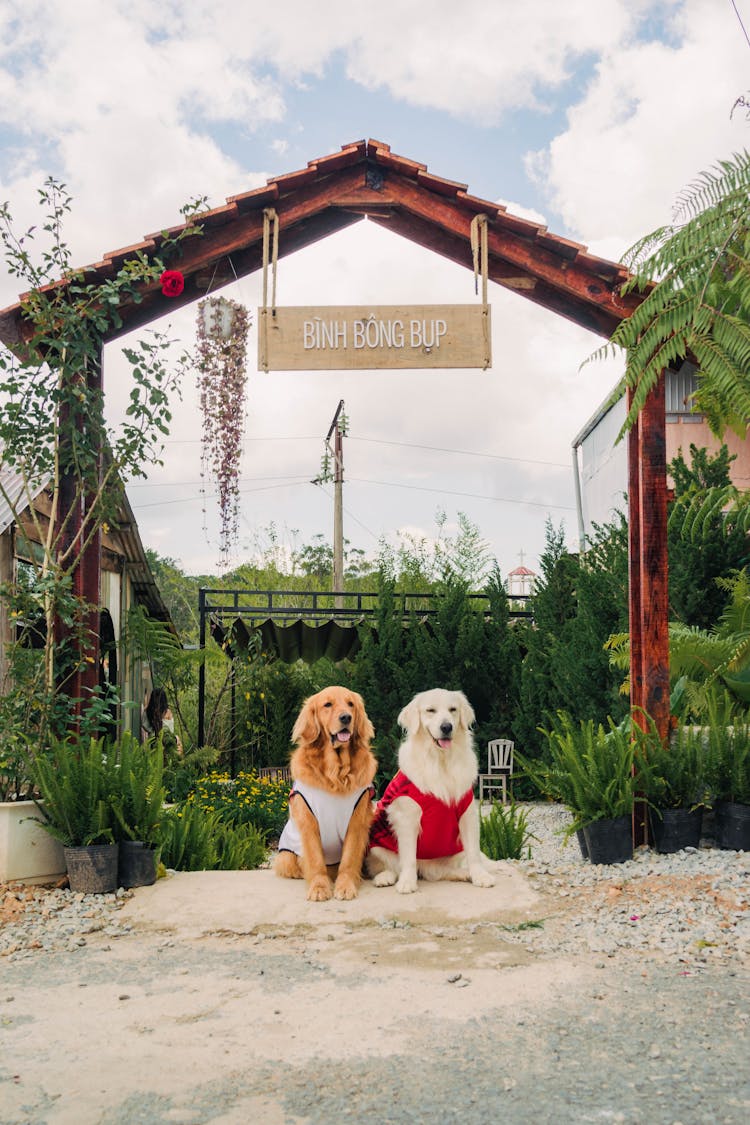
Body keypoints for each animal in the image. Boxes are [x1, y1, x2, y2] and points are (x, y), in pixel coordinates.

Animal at [274, 679, 375, 900]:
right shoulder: (308, 822)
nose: (346, 717)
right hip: (285, 856)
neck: (336, 774)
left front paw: (345, 886)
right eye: (327, 705)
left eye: (350, 704)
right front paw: (319, 887)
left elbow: (349, 859)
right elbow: (315, 860)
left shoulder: (357, 821)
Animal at [364, 684, 494, 895]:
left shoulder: (467, 813)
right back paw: (385, 878)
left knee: (440, 871)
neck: (440, 761)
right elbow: (408, 857)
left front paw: (480, 876)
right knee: (391, 866)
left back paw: (464, 874)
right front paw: (407, 883)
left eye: (453, 710)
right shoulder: (407, 818)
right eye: (430, 710)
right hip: (376, 843)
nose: (446, 727)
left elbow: (474, 852)